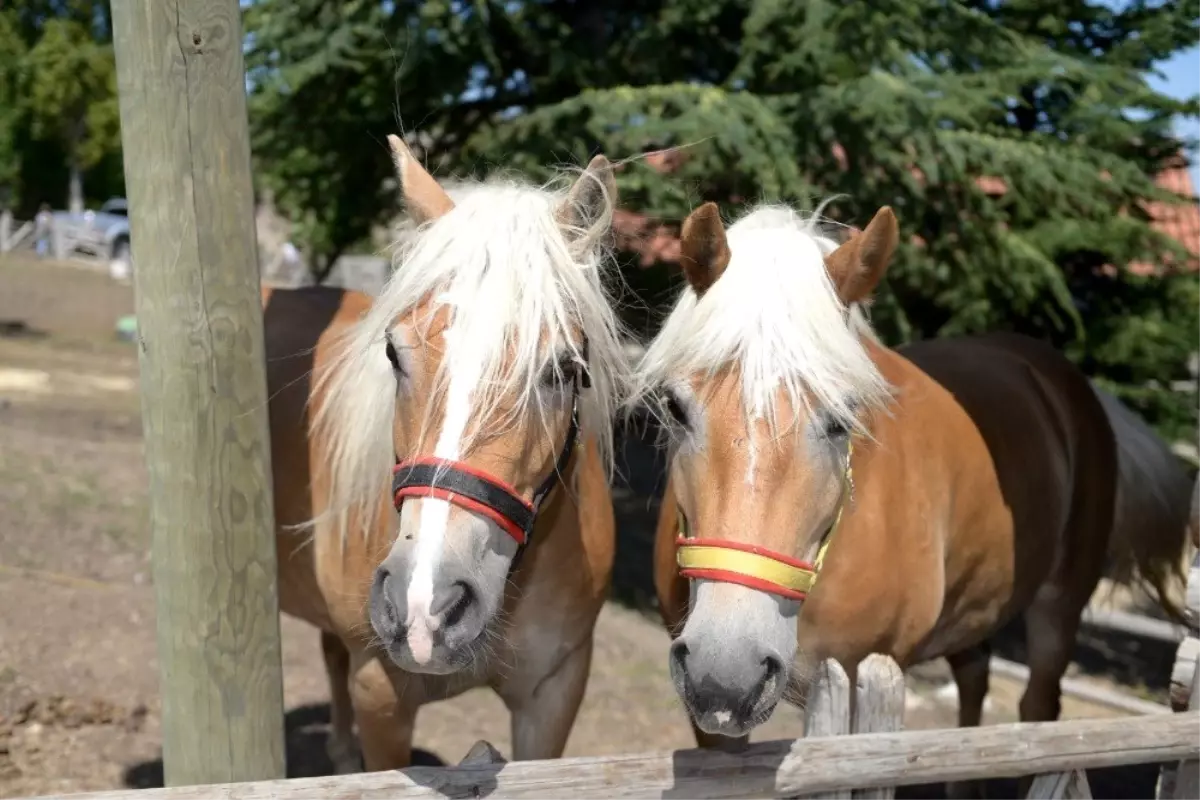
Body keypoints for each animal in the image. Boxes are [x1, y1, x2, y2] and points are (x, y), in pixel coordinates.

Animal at [638, 200, 1190, 796]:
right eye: (675, 407)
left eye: (841, 420)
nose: (725, 671)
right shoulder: (714, 727)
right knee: (974, 683)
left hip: (1058, 608)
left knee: (1038, 709)